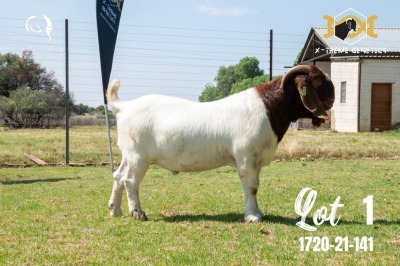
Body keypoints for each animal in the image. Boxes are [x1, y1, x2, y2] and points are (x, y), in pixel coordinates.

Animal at [106, 65, 334, 222]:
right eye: (319, 80)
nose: (333, 96)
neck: (269, 107)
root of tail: (124, 107)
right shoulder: (246, 158)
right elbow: (251, 187)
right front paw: (252, 216)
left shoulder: (256, 159)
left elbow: (255, 186)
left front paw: (257, 212)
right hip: (139, 156)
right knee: (130, 181)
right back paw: (138, 213)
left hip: (128, 154)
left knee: (117, 176)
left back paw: (115, 210)